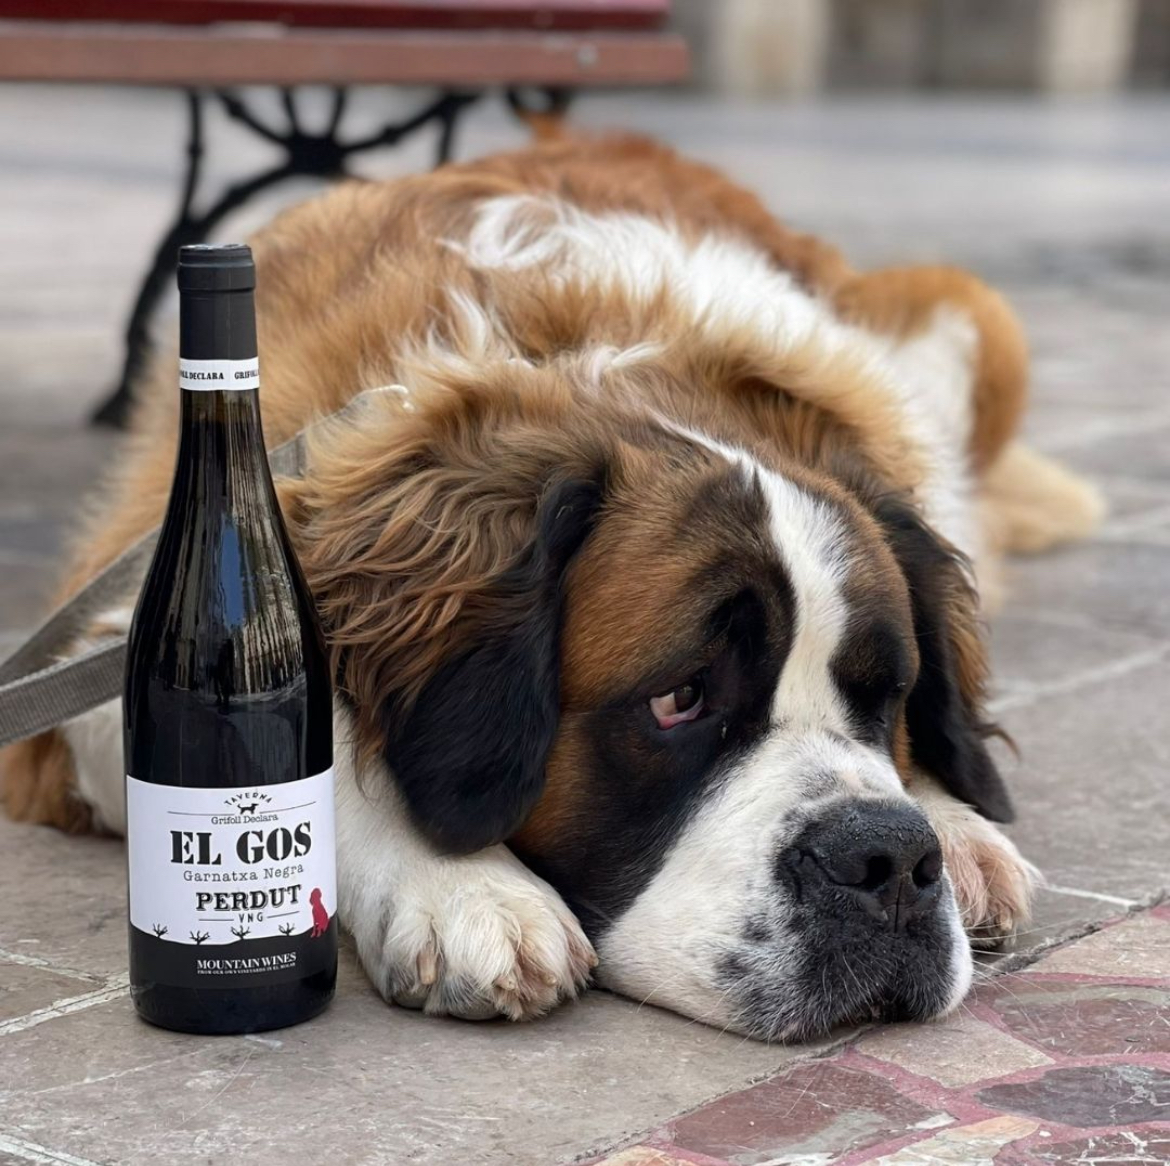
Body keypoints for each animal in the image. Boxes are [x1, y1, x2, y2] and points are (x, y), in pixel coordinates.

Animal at [2, 130, 1102, 1041]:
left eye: (888, 696)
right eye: (679, 698)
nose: (889, 861)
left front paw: (953, 820)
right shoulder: (94, 671)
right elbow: (326, 754)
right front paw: (463, 886)